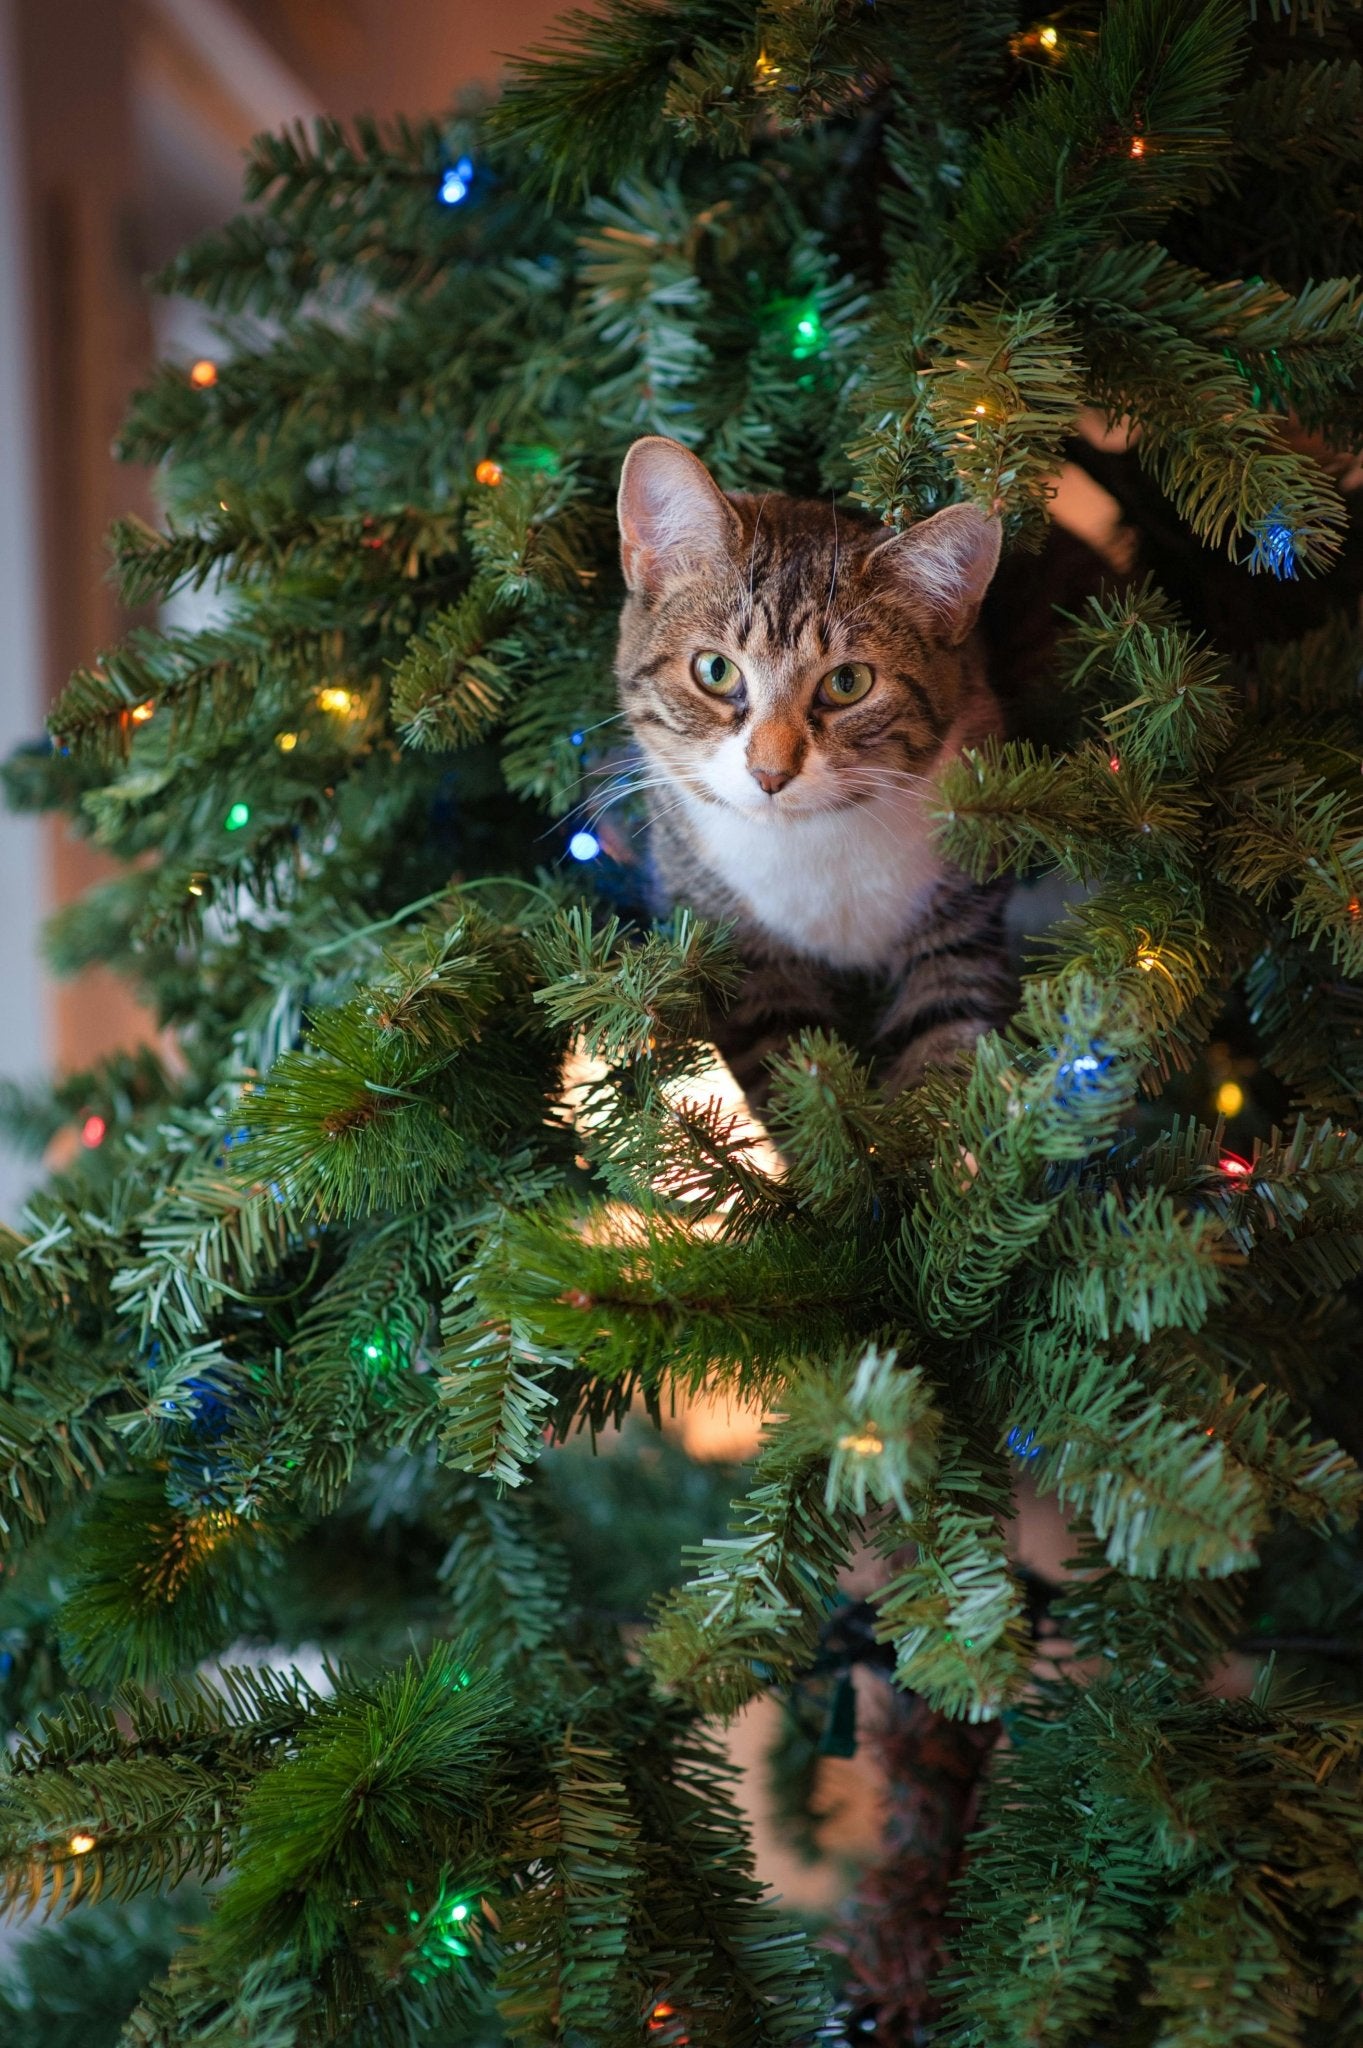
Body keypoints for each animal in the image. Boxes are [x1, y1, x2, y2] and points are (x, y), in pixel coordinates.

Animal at [609, 438, 1015, 1097]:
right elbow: (797, 1076)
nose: (770, 772)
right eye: (715, 671)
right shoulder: (742, 957)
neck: (813, 844)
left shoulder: (963, 914)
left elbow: (946, 1041)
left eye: (848, 683)